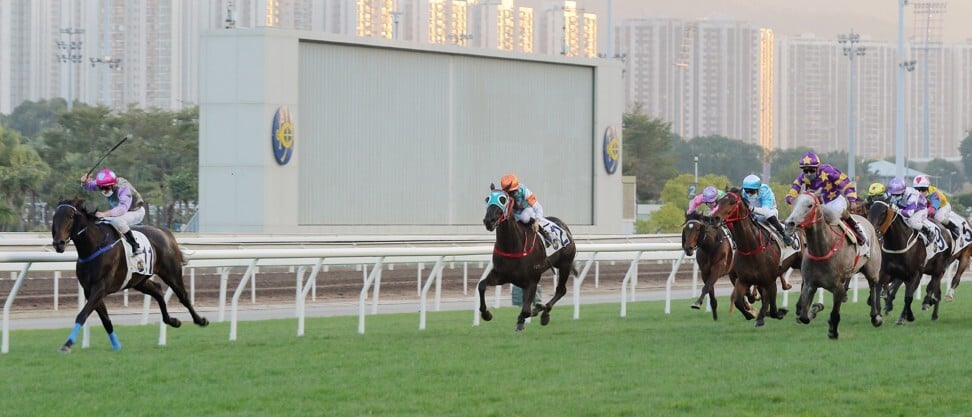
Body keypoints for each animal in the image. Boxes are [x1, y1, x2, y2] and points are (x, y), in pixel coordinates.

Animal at [51, 198, 207, 352]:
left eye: (70, 216)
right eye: (55, 217)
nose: (58, 243)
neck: (94, 246)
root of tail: (165, 232)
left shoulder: (101, 287)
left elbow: (82, 315)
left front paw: (68, 343)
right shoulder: (89, 290)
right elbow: (105, 320)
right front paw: (116, 345)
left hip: (171, 273)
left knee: (183, 296)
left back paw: (200, 320)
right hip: (139, 280)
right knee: (157, 290)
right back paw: (173, 321)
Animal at [480, 187, 576, 330]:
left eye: (503, 199)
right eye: (487, 199)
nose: (489, 221)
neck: (513, 246)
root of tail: (564, 226)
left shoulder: (532, 280)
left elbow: (526, 310)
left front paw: (533, 311)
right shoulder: (501, 275)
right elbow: (481, 285)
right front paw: (486, 314)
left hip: (566, 264)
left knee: (561, 290)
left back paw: (544, 314)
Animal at [708, 188, 788, 324]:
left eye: (732, 202)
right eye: (718, 202)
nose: (715, 219)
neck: (751, 248)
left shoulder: (770, 279)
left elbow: (772, 307)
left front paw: (777, 312)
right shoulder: (742, 279)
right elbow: (738, 301)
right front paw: (750, 315)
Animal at [784, 192, 884, 338]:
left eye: (810, 205)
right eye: (794, 202)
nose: (789, 224)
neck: (823, 250)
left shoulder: (838, 287)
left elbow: (835, 313)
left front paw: (832, 331)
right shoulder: (809, 284)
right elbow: (803, 316)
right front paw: (815, 308)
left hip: (872, 270)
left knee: (873, 286)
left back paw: (876, 316)